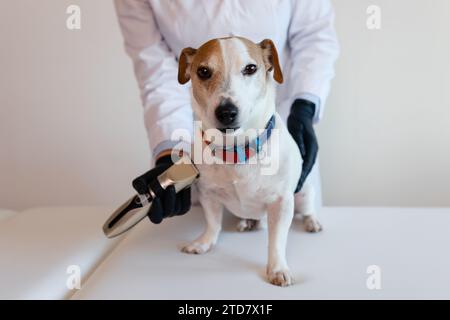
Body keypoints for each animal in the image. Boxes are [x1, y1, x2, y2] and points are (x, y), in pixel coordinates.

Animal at [176, 36, 320, 286]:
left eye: (251, 68)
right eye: (203, 71)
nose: (226, 112)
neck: (236, 150)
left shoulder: (282, 203)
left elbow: (276, 240)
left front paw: (277, 268)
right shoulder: (208, 194)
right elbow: (213, 223)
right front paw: (204, 242)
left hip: (304, 191)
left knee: (308, 206)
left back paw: (311, 222)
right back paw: (248, 222)